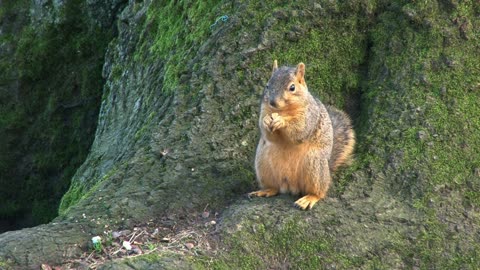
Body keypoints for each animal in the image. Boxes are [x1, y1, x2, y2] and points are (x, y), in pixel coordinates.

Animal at [249, 60, 354, 210]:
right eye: (267, 85)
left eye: (292, 87)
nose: (273, 102)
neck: (283, 111)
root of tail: (290, 185)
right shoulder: (265, 110)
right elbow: (268, 134)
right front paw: (266, 121)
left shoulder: (309, 115)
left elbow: (300, 129)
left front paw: (282, 121)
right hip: (263, 165)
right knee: (275, 188)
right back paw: (265, 190)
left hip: (314, 165)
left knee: (319, 191)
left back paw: (309, 199)